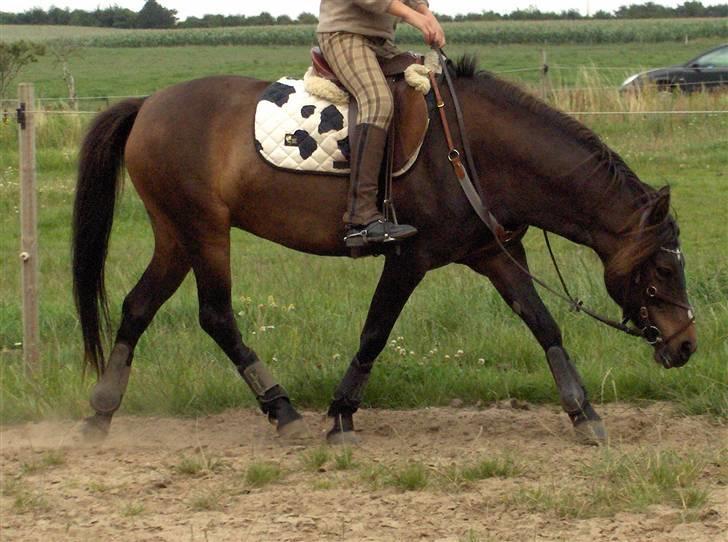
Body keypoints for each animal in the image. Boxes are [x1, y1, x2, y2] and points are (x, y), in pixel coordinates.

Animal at [71, 56, 696, 446]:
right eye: (663, 266)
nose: (687, 345)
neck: (471, 153)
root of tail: (148, 104)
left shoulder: (493, 254)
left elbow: (543, 324)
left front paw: (583, 411)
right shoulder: (408, 259)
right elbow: (375, 330)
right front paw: (342, 413)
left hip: (176, 234)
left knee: (137, 306)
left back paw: (101, 412)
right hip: (204, 231)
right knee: (216, 316)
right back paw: (282, 409)